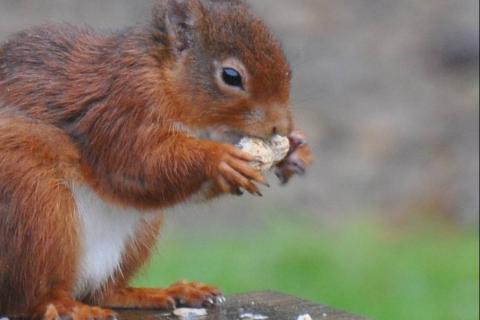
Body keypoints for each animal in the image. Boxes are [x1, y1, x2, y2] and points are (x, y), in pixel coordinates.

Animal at [0, 0, 312, 318]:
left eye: (287, 69)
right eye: (231, 76)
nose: (281, 127)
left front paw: (295, 150)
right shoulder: (122, 108)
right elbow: (140, 164)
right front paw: (218, 158)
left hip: (138, 235)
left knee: (104, 292)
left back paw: (165, 292)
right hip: (35, 207)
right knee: (34, 299)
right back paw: (67, 307)